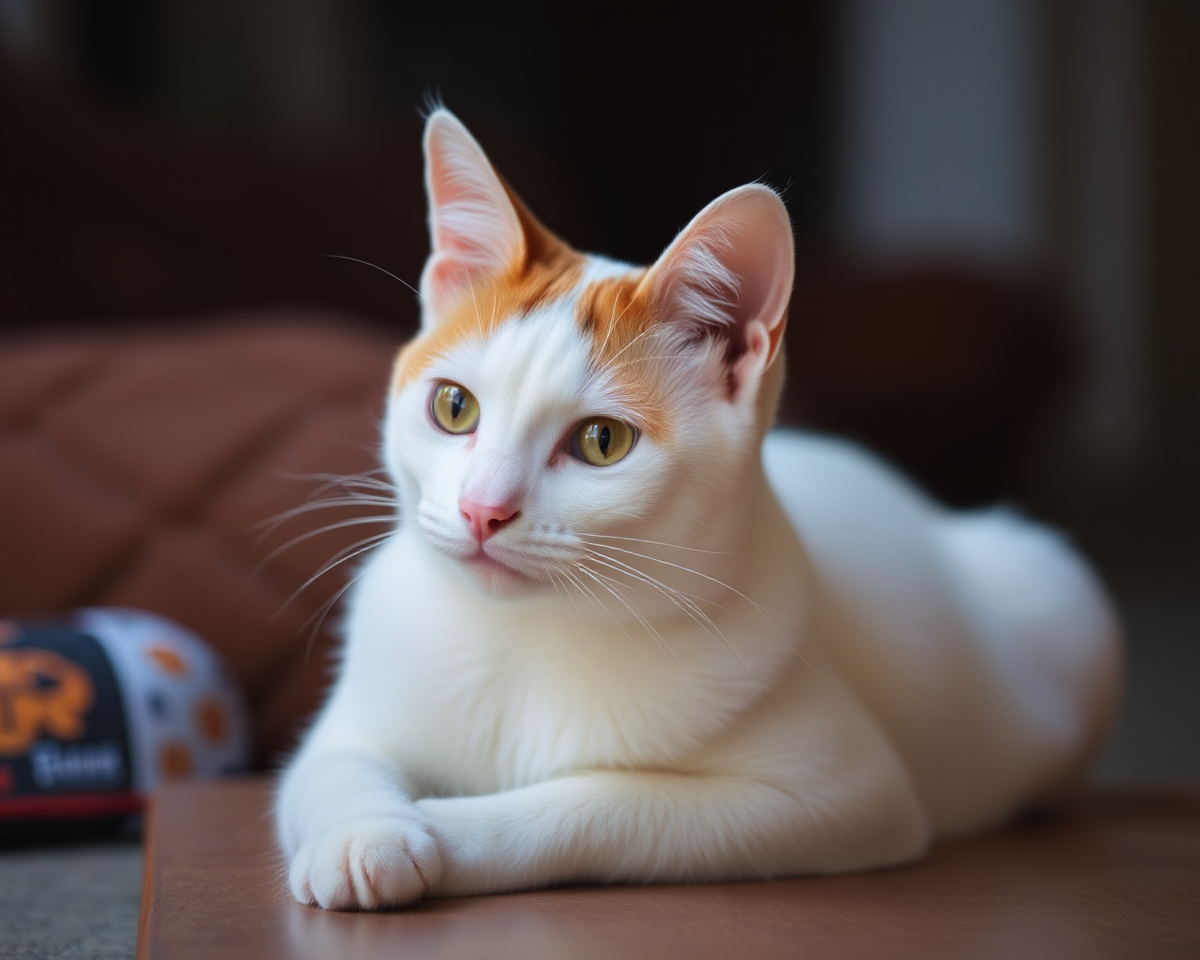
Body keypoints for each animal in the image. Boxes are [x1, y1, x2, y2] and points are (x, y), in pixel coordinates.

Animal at [276, 108, 1118, 912]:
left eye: (603, 442)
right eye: (454, 407)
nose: (483, 510)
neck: (530, 638)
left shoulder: (843, 793)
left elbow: (601, 800)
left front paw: (450, 829)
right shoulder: (350, 722)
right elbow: (330, 767)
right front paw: (365, 832)